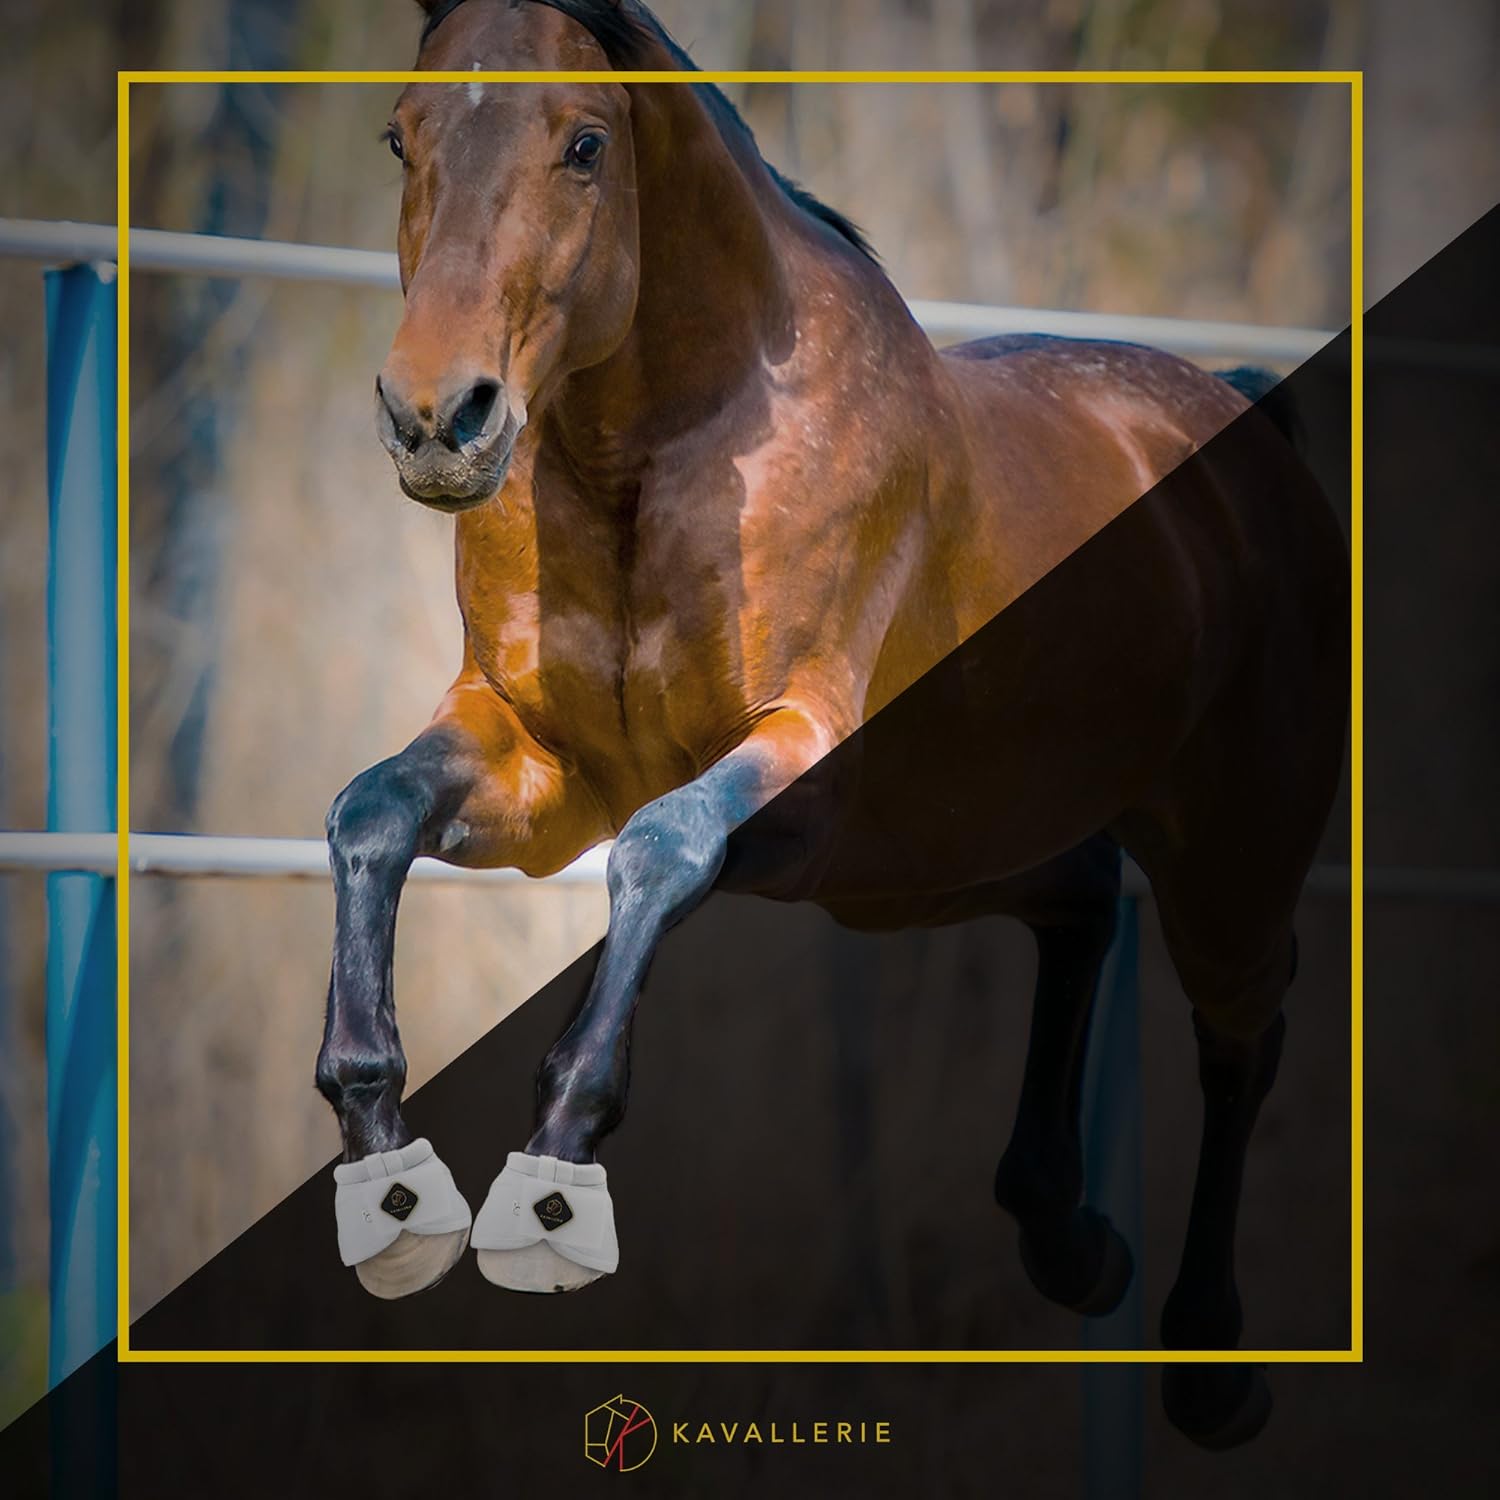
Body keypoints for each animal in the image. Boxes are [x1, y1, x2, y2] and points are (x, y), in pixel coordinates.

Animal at [315, 0, 1348, 1448]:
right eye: (399, 136)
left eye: (584, 144)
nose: (435, 418)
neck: (665, 450)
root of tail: (1249, 419)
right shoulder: (537, 765)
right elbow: (373, 810)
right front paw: (388, 1182)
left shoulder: (795, 763)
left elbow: (661, 852)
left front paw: (554, 1184)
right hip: (930, 857)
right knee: (1083, 902)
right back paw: (1069, 1240)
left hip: (1226, 853)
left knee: (1245, 1037)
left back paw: (1212, 1369)